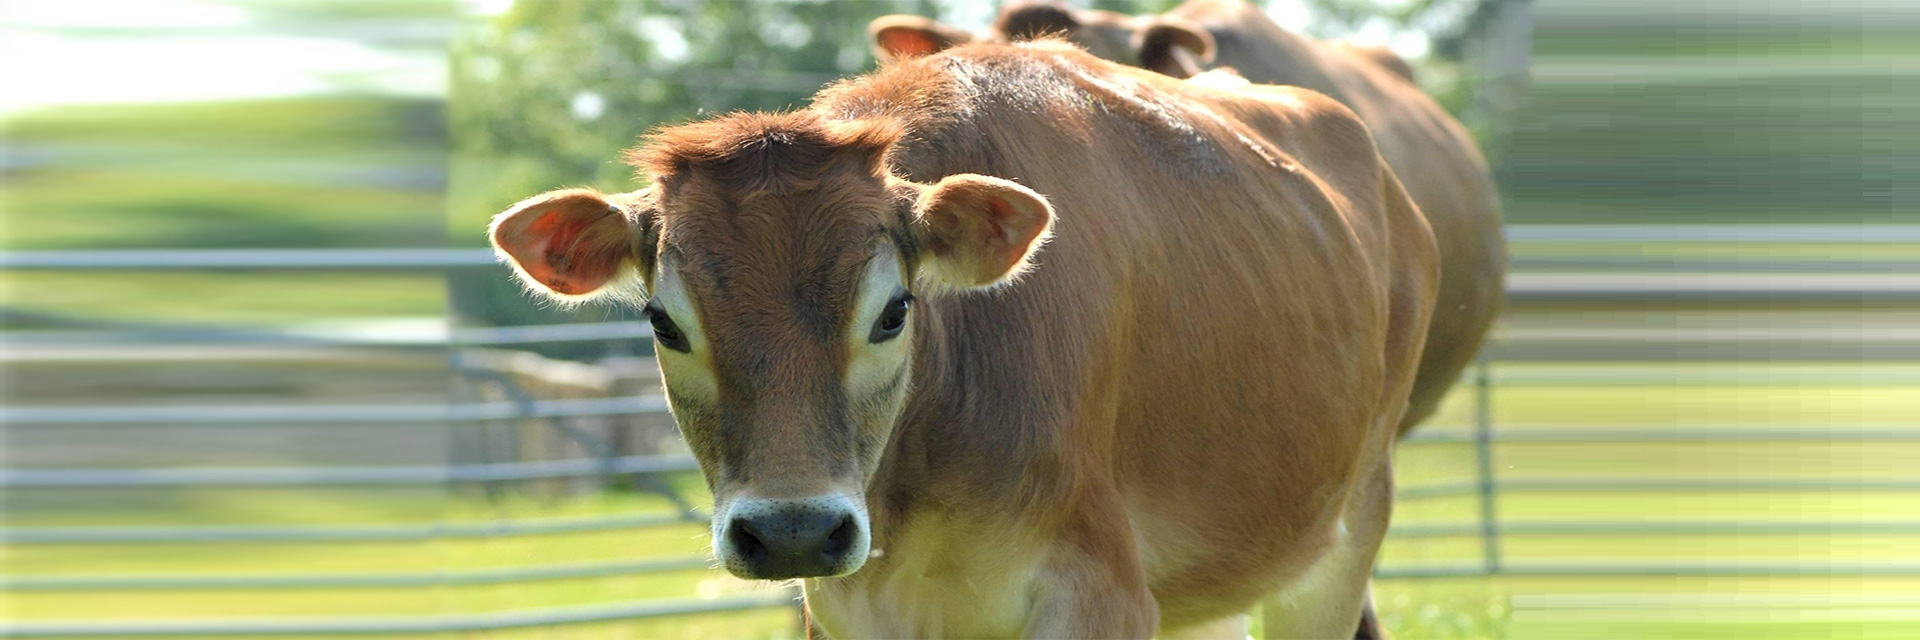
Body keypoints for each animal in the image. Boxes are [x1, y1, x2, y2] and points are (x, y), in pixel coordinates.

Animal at [487, 42, 1436, 634]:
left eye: (893, 311)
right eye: (664, 321)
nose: (793, 531)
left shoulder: (1100, 592)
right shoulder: (849, 608)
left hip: (1342, 542)